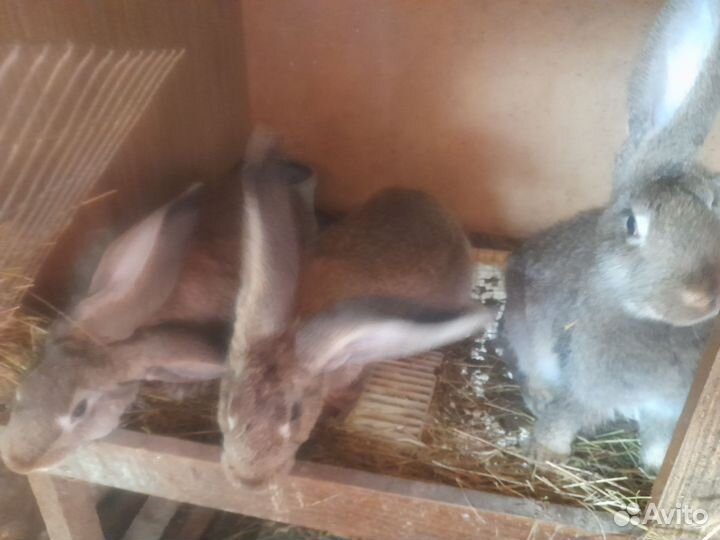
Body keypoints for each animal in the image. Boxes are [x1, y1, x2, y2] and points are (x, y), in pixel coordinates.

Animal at [217, 138, 498, 488]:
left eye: (295, 413)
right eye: (230, 403)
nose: (248, 481)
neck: (298, 323)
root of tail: (427, 199)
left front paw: (336, 420)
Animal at [503, 0, 720, 471]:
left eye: (718, 207)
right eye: (632, 224)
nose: (702, 295)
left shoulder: (665, 409)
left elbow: (658, 441)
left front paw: (655, 465)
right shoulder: (585, 383)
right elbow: (566, 415)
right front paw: (544, 453)